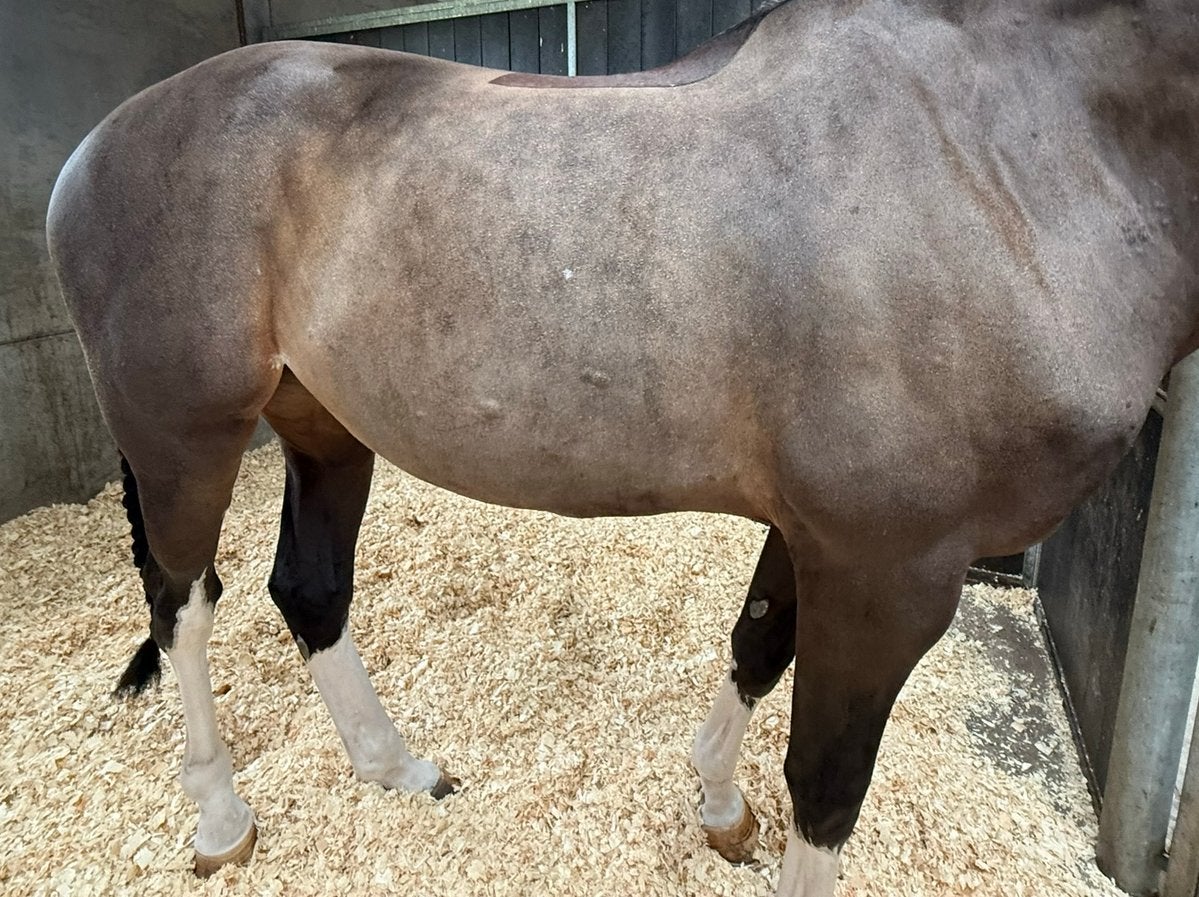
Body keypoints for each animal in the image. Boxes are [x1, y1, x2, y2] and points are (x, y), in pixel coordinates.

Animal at [45, 0, 1199, 892]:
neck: (1007, 153)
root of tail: (93, 149)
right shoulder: (892, 566)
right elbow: (827, 783)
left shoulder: (822, 537)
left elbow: (757, 643)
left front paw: (719, 806)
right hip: (186, 437)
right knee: (183, 604)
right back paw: (221, 821)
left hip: (324, 430)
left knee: (307, 590)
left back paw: (399, 769)